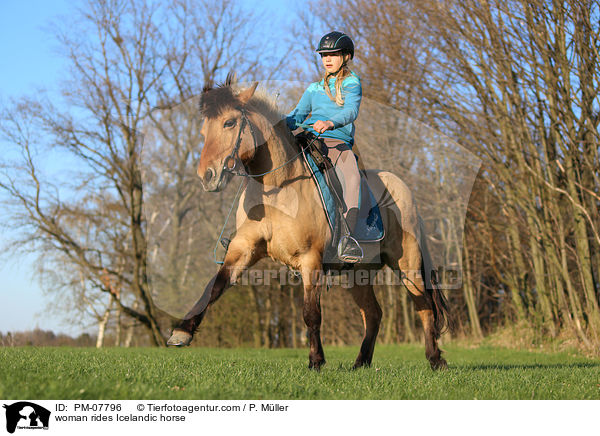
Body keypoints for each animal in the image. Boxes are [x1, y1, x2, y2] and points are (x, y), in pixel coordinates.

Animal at [165, 76, 450, 370]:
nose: (207, 176)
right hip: (357, 274)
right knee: (374, 314)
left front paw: (316, 360)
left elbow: (311, 313)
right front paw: (182, 331)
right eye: (203, 130)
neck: (277, 188)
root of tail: (404, 189)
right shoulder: (243, 250)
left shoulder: (309, 258)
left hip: (407, 264)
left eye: (229, 123)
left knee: (424, 306)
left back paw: (435, 359)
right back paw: (361, 362)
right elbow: (216, 285)